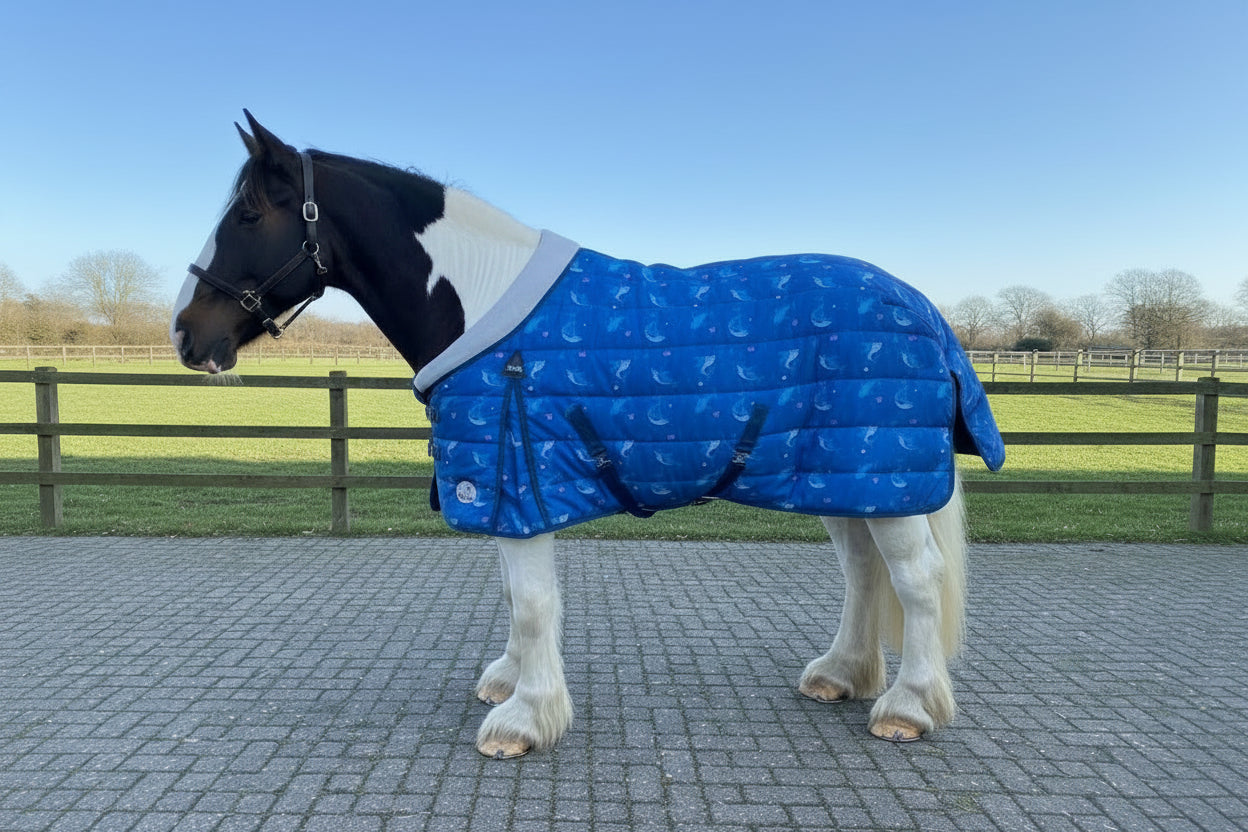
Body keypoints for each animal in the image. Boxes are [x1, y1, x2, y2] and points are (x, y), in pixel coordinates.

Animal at [172, 112, 1004, 758]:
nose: (185, 334)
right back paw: (841, 674)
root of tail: (925, 310)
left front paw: (525, 720)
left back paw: (908, 706)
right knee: (864, 573)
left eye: (248, 216)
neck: (480, 304)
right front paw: (510, 684)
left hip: (883, 479)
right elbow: (513, 594)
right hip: (848, 477)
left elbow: (533, 600)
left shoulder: (520, 483)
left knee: (916, 581)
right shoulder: (509, 489)